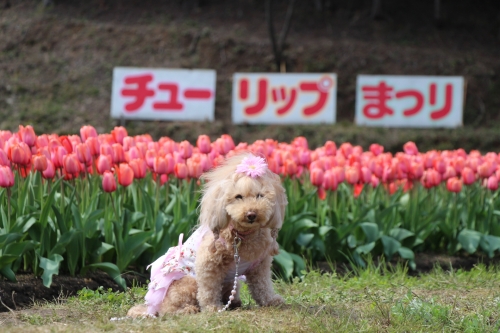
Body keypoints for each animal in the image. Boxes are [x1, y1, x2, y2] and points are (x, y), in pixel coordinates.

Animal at [127, 152, 288, 316]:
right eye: (238, 196)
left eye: (260, 196)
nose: (251, 214)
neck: (243, 234)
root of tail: (151, 308)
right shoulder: (208, 265)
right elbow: (208, 289)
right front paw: (212, 307)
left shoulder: (260, 266)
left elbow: (263, 285)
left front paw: (271, 301)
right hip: (187, 283)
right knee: (168, 309)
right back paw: (188, 309)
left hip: (230, 281)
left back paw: (233, 302)